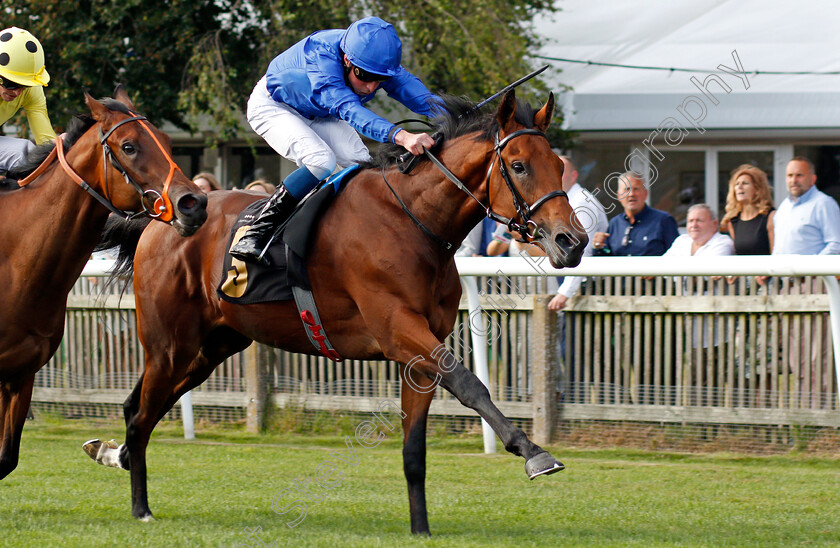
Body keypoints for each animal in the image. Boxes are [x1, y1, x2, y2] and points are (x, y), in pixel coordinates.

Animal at [0, 88, 208, 482]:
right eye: (129, 147)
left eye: (168, 142)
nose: (195, 204)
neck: (14, 258)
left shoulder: (21, 375)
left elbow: (4, 460)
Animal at [83, 91, 584, 536]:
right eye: (518, 166)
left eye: (559, 166)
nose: (573, 241)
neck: (413, 221)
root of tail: (161, 217)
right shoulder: (399, 330)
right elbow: (469, 383)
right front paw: (534, 452)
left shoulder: (417, 356)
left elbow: (414, 451)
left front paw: (420, 528)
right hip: (171, 344)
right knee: (141, 415)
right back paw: (140, 507)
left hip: (212, 347)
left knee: (139, 406)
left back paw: (113, 454)